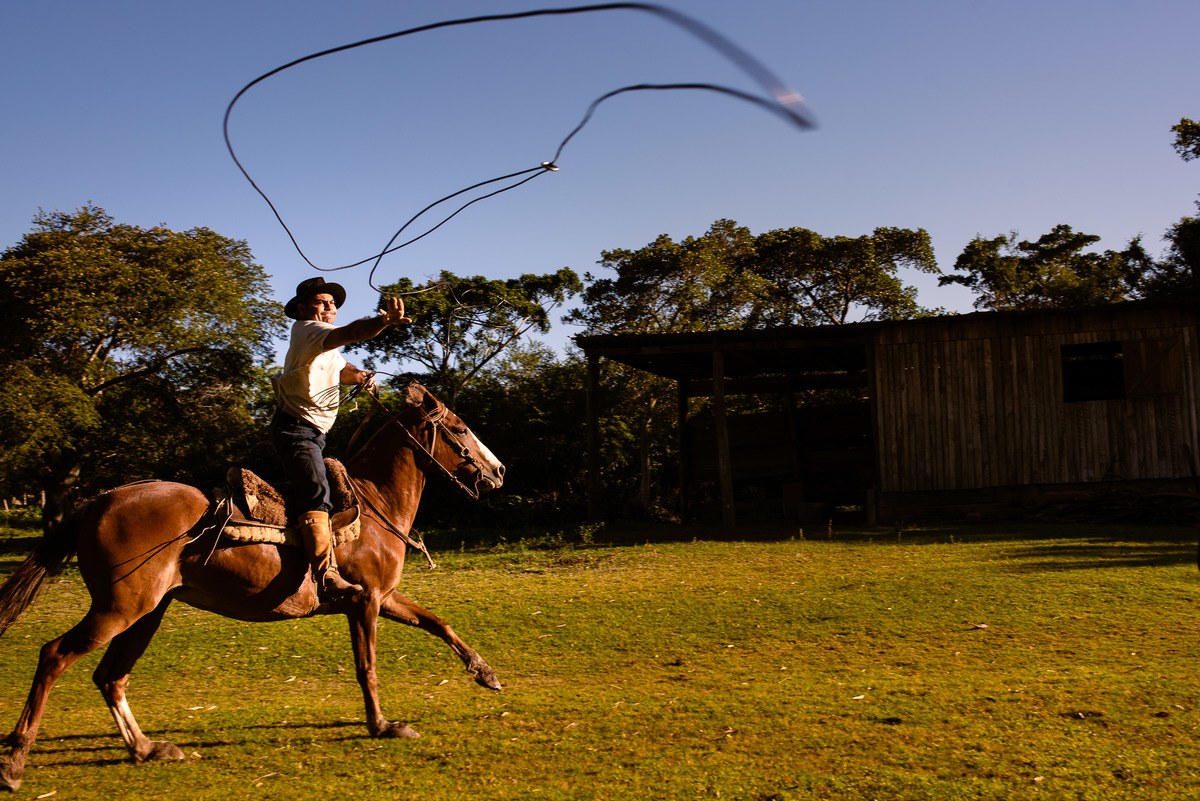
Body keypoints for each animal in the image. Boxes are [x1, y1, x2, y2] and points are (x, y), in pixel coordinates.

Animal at [0, 381, 505, 792]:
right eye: (459, 430)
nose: (498, 471)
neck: (376, 506)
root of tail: (99, 501)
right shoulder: (366, 603)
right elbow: (368, 667)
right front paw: (382, 724)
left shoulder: (383, 597)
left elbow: (437, 623)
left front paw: (485, 673)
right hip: (117, 609)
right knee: (55, 656)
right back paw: (15, 763)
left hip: (146, 612)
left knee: (110, 677)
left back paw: (146, 748)